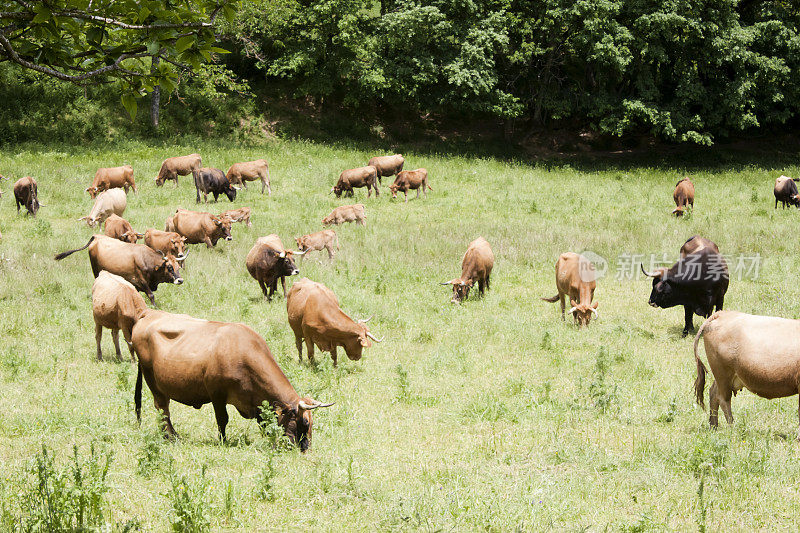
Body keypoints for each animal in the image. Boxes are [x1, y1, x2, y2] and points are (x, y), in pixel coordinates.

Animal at [54, 236, 184, 306]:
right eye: (170, 267)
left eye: (178, 267)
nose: (180, 280)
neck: (146, 259)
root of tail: (97, 236)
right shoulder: (140, 280)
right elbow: (151, 295)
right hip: (96, 271)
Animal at [132, 308, 332, 444]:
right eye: (304, 422)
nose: (306, 448)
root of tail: (148, 313)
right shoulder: (216, 394)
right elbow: (223, 419)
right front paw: (223, 440)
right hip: (152, 381)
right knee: (162, 408)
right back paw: (170, 435)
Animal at [692, 308, 800, 436]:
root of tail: (721, 314)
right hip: (723, 374)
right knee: (723, 399)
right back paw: (732, 428)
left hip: (723, 377)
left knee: (713, 393)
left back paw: (713, 426)